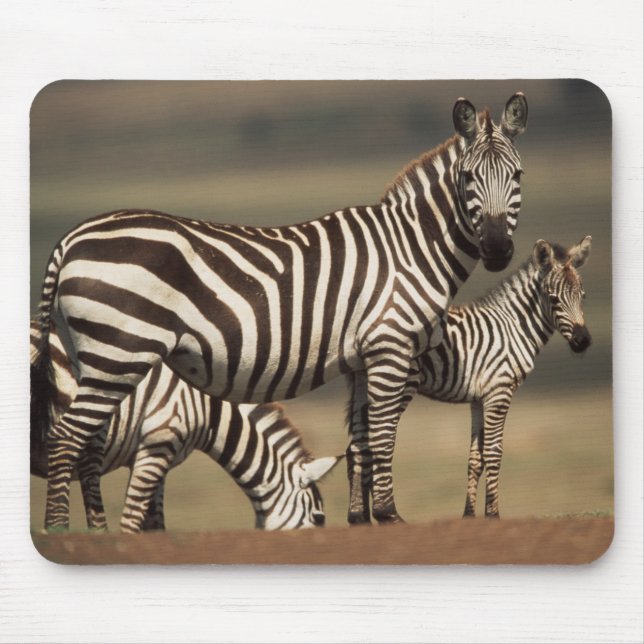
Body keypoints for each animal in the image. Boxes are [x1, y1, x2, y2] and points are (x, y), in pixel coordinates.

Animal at [31, 321, 341, 532]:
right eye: (319, 518)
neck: (206, 407)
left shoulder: (153, 456)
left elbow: (155, 525)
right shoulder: (158, 443)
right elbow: (133, 521)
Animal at [414, 236, 592, 517]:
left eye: (582, 297)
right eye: (553, 299)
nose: (582, 341)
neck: (512, 328)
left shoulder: (478, 397)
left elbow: (475, 458)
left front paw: (468, 516)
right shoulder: (500, 390)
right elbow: (493, 453)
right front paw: (492, 515)